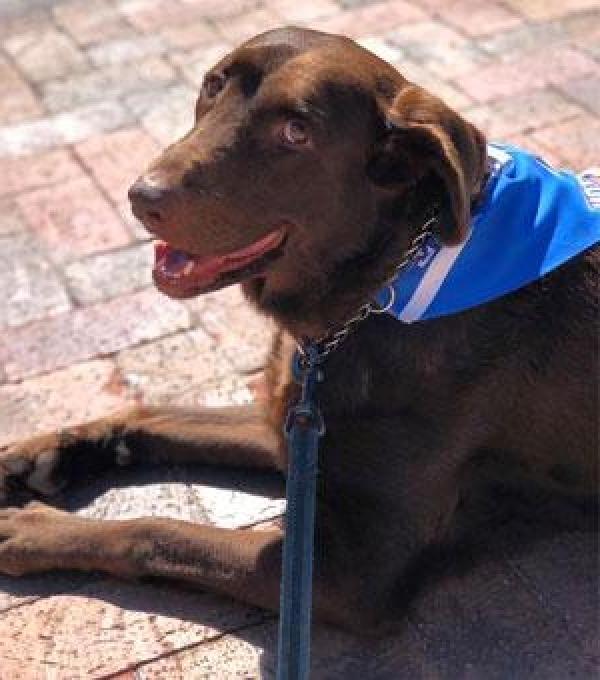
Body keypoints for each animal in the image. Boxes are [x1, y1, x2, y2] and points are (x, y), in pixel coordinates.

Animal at [0, 26, 596, 632]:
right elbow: (155, 414)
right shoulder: (287, 417)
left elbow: (159, 532)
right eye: (212, 86)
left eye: (296, 131)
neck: (378, 287)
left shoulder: (353, 575)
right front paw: (47, 452)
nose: (141, 197)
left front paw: (33, 529)